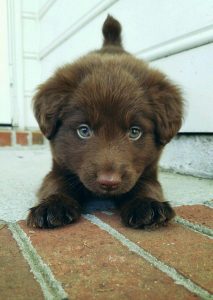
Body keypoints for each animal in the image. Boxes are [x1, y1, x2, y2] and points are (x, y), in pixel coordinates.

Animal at [26, 15, 183, 230]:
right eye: (84, 130)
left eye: (135, 132)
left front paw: (148, 205)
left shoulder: (148, 171)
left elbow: (147, 185)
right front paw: (52, 205)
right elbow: (54, 183)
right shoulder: (59, 166)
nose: (109, 182)